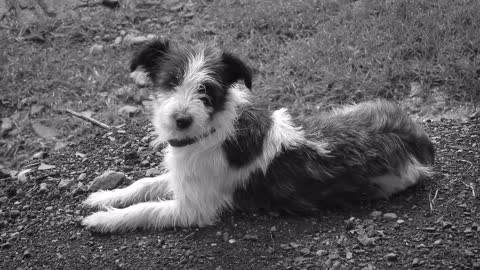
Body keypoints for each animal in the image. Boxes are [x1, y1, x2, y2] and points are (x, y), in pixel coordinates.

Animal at [82, 39, 436, 232]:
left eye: (207, 90)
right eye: (170, 81)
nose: (181, 120)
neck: (211, 131)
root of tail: (415, 138)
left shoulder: (193, 207)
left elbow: (146, 209)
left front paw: (103, 221)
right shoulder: (186, 176)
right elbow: (145, 184)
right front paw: (106, 197)